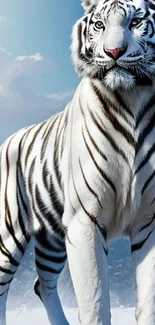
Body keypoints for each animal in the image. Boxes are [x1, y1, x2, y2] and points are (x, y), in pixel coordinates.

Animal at [0, 0, 155, 322]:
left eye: (135, 22)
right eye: (99, 25)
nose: (114, 52)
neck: (131, 97)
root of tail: (7, 138)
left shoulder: (149, 220)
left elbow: (149, 300)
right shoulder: (86, 219)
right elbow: (95, 301)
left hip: (53, 236)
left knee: (42, 283)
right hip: (11, 233)